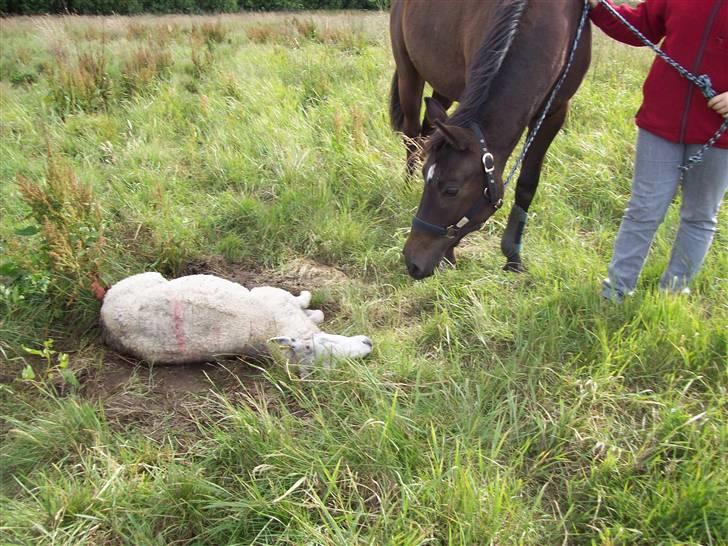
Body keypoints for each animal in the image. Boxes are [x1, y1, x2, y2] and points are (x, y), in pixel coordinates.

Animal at [99, 270, 372, 372]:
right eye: (326, 344)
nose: (368, 343)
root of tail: (105, 321)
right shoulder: (276, 296)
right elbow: (308, 305)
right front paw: (307, 300)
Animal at [392, 0, 592, 278]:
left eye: (451, 190)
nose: (412, 262)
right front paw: (449, 257)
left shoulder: (554, 112)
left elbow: (528, 183)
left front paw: (513, 257)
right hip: (409, 75)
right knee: (411, 137)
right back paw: (407, 185)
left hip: (442, 91)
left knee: (424, 134)